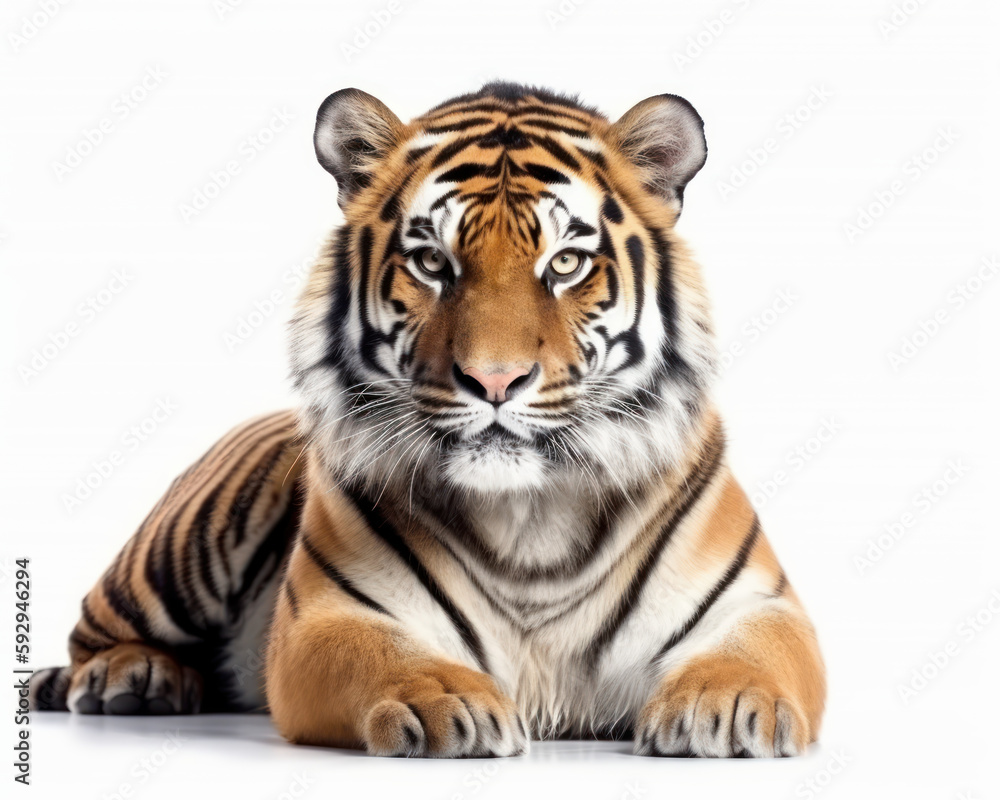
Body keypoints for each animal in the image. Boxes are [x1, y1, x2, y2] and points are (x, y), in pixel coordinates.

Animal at [30, 82, 826, 758]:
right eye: (432, 263)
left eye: (566, 264)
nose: (495, 379)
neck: (530, 517)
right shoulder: (328, 616)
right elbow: (381, 655)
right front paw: (447, 700)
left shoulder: (762, 606)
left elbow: (755, 653)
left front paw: (725, 705)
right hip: (184, 547)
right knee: (94, 630)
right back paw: (134, 678)